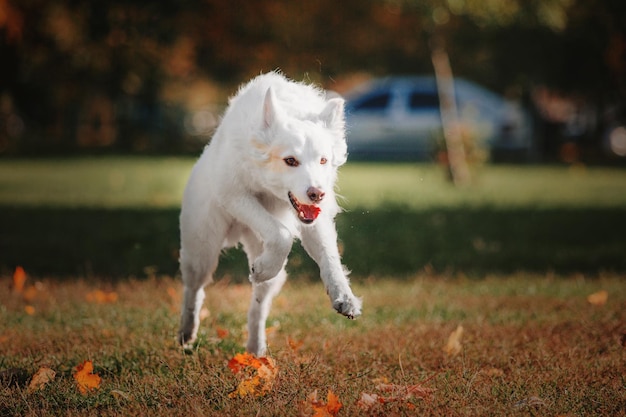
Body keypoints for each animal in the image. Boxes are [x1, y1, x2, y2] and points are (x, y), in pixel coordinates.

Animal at [176, 72, 360, 354]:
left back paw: (256, 349)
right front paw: (262, 267)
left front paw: (344, 298)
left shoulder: (315, 221)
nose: (317, 194)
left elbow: (329, 257)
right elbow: (281, 233)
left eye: (323, 160)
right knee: (194, 290)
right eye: (290, 161)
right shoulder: (235, 194)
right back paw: (187, 334)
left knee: (258, 307)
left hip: (268, 275)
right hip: (202, 250)